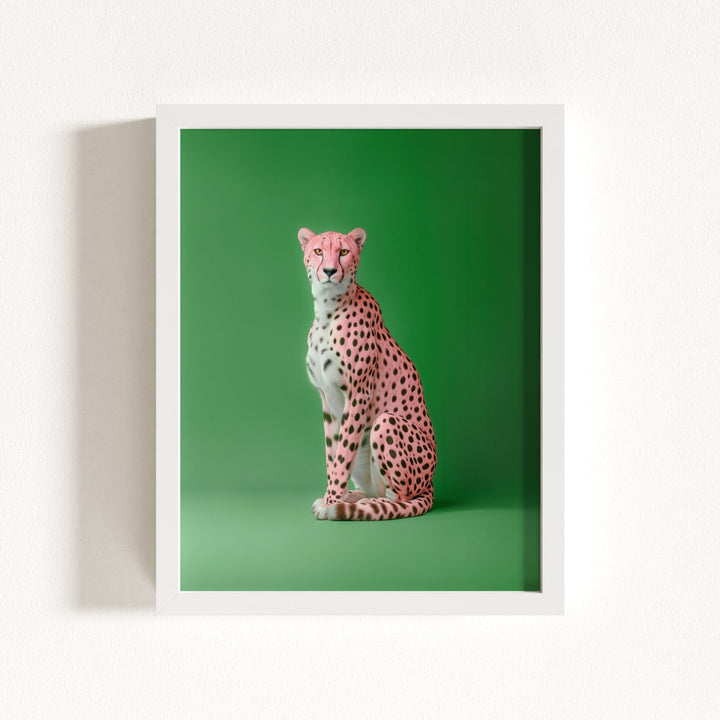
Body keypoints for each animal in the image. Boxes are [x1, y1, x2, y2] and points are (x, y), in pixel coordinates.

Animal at [299, 227, 437, 520]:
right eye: (318, 251)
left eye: (343, 251)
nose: (329, 271)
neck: (327, 309)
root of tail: (430, 484)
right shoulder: (327, 399)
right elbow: (332, 454)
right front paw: (331, 497)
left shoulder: (358, 394)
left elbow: (342, 456)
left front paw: (332, 502)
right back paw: (353, 498)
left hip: (385, 423)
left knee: (400, 499)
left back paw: (361, 505)